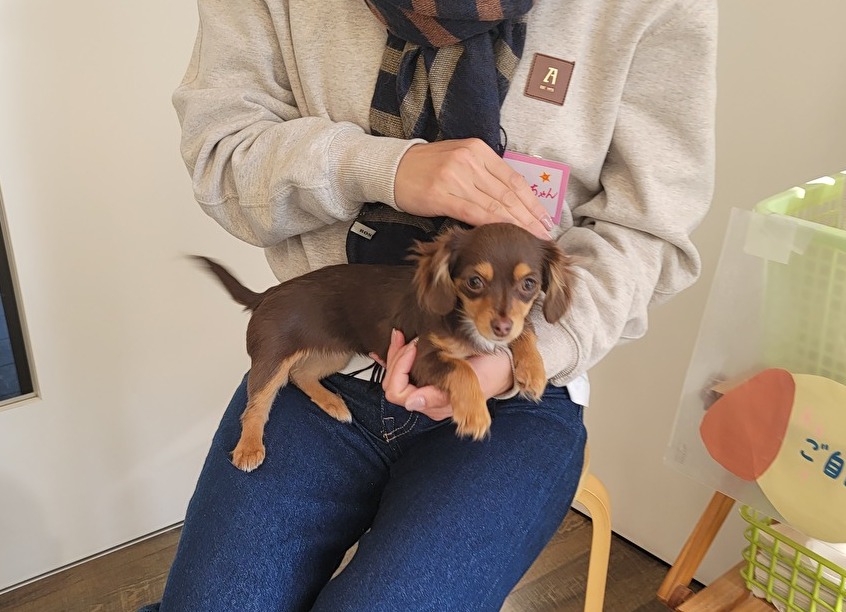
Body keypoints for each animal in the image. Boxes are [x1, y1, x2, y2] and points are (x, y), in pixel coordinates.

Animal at [195, 222, 576, 471]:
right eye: (474, 281)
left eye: (529, 284)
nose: (500, 326)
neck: (464, 319)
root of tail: (267, 294)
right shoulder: (421, 357)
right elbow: (463, 368)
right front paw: (475, 414)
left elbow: (525, 330)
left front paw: (533, 371)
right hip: (272, 358)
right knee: (258, 403)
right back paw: (248, 448)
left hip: (336, 351)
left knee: (302, 375)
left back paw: (334, 403)